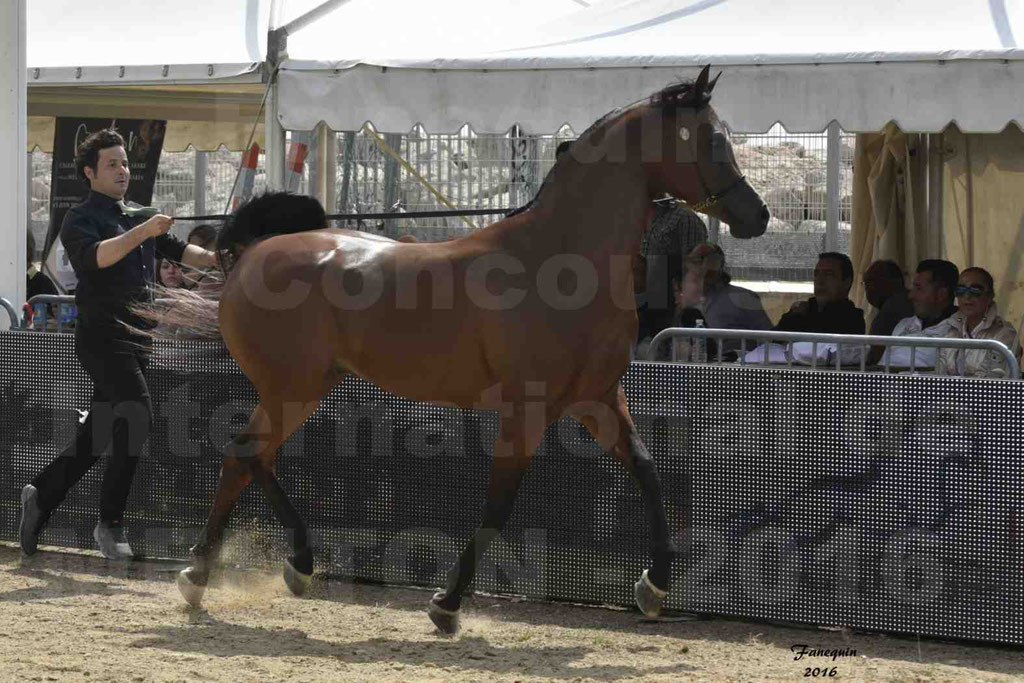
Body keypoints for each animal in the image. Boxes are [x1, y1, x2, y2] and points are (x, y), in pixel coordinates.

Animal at [151, 66, 770, 634]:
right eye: (713, 139)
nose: (756, 216)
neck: (562, 265)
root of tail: (255, 253)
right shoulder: (527, 412)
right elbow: (498, 507)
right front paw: (446, 605)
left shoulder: (597, 401)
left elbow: (648, 473)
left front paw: (653, 587)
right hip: (291, 388)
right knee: (246, 456)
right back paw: (225, 573)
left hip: (307, 386)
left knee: (251, 459)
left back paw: (260, 570)